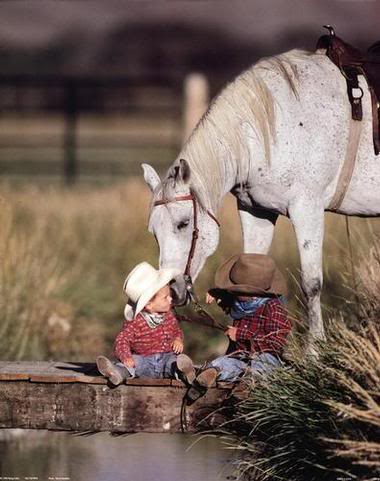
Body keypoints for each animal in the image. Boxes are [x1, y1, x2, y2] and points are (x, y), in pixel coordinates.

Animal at [141, 46, 378, 344]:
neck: (275, 126)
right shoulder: (256, 211)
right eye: (154, 232)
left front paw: (314, 348)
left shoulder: (307, 209)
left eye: (183, 224)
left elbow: (311, 284)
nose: (172, 291)